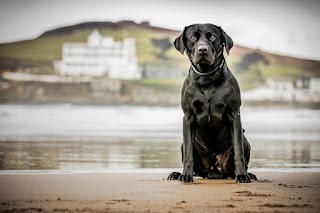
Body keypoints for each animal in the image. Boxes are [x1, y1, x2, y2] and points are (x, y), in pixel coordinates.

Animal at [169, 23, 256, 183]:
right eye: (192, 38)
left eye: (213, 37)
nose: (202, 49)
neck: (206, 77)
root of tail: (214, 171)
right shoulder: (188, 117)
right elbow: (189, 154)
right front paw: (185, 175)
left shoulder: (234, 115)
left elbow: (238, 152)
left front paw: (242, 175)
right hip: (183, 145)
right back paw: (177, 174)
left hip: (245, 140)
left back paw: (247, 174)